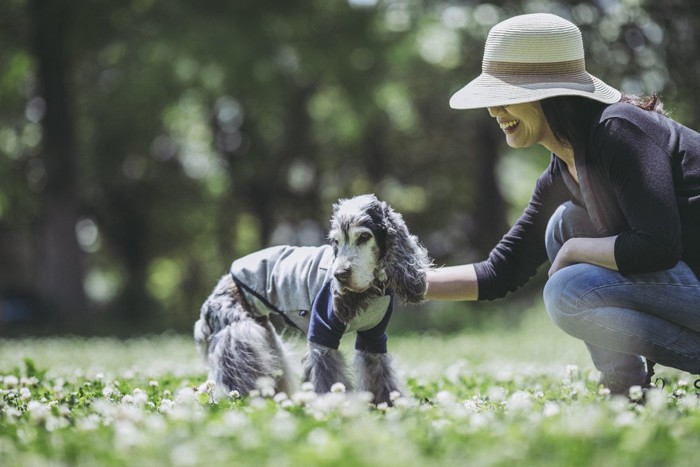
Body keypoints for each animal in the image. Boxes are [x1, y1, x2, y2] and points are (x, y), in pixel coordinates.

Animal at [193, 194, 432, 406]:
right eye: (335, 241)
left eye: (364, 237)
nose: (339, 274)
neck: (370, 290)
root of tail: (216, 292)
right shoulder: (322, 335)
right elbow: (327, 378)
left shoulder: (373, 338)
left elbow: (380, 374)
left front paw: (389, 406)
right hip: (241, 338)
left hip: (267, 339)